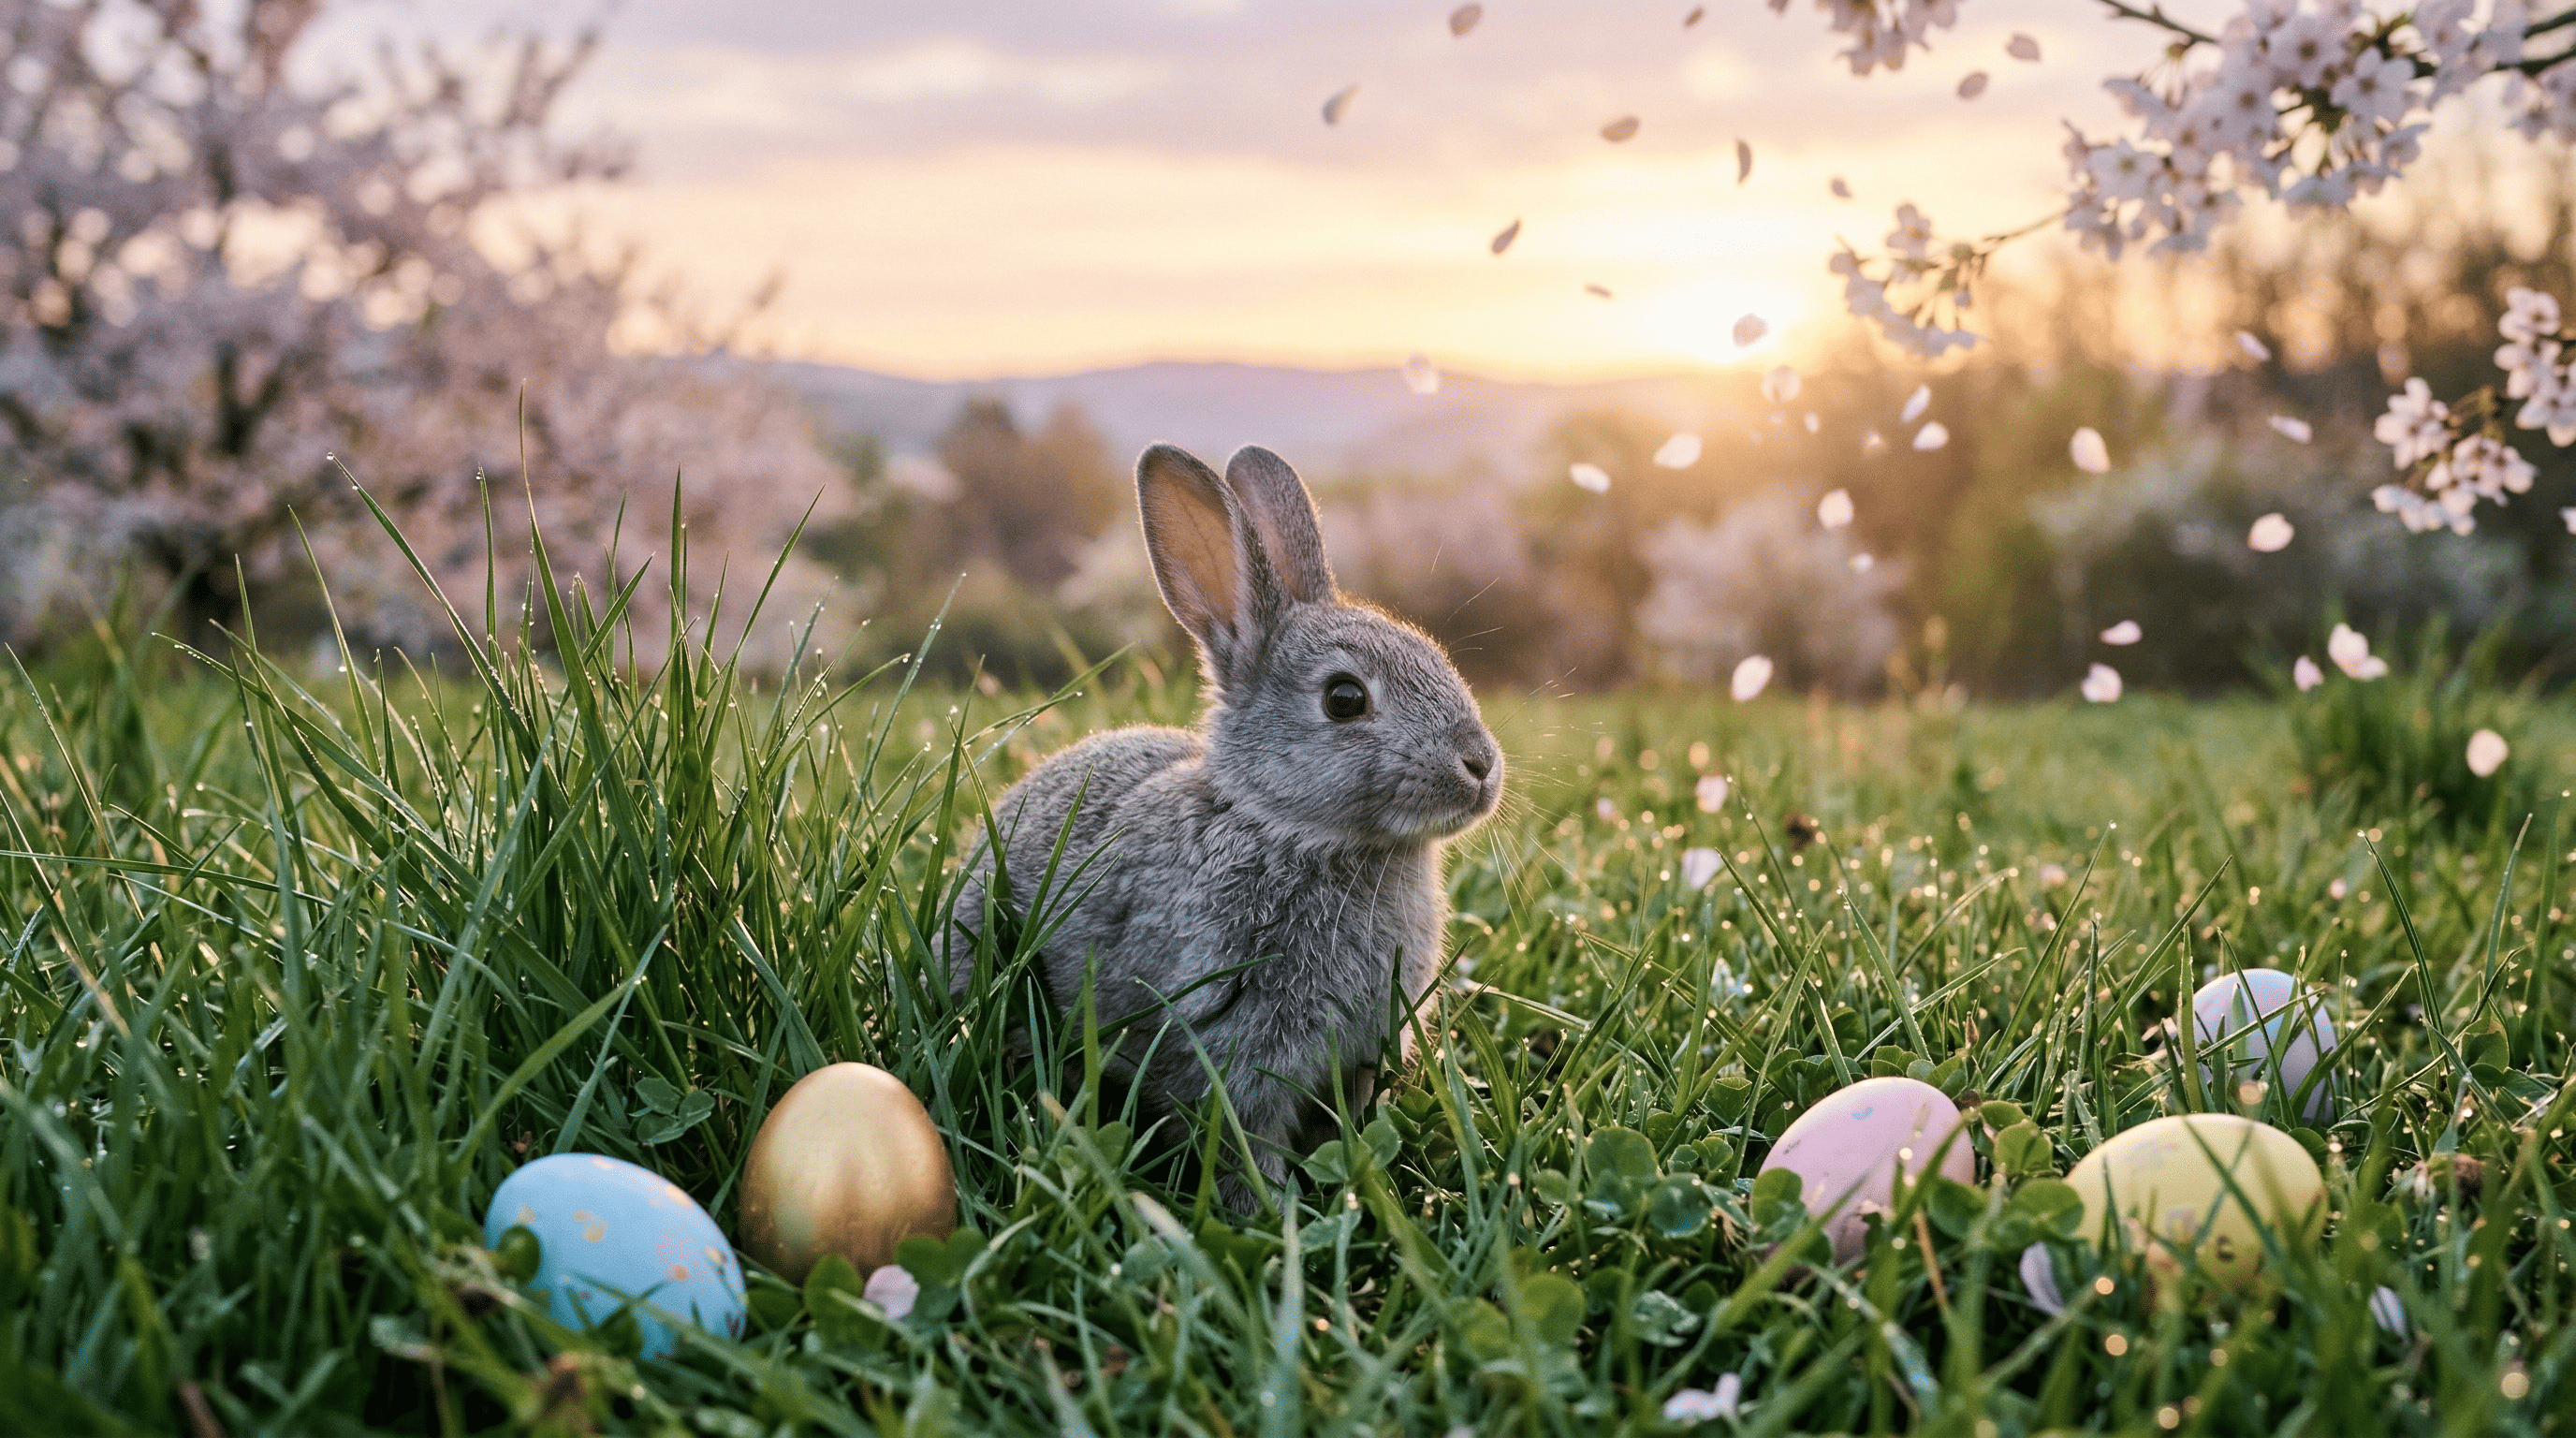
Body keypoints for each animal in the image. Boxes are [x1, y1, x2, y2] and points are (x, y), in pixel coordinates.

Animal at [948, 442, 1503, 1210]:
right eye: (1345, 699)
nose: (1481, 764)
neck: (1286, 827)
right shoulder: (1233, 1048)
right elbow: (1245, 1142)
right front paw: (1269, 1213)